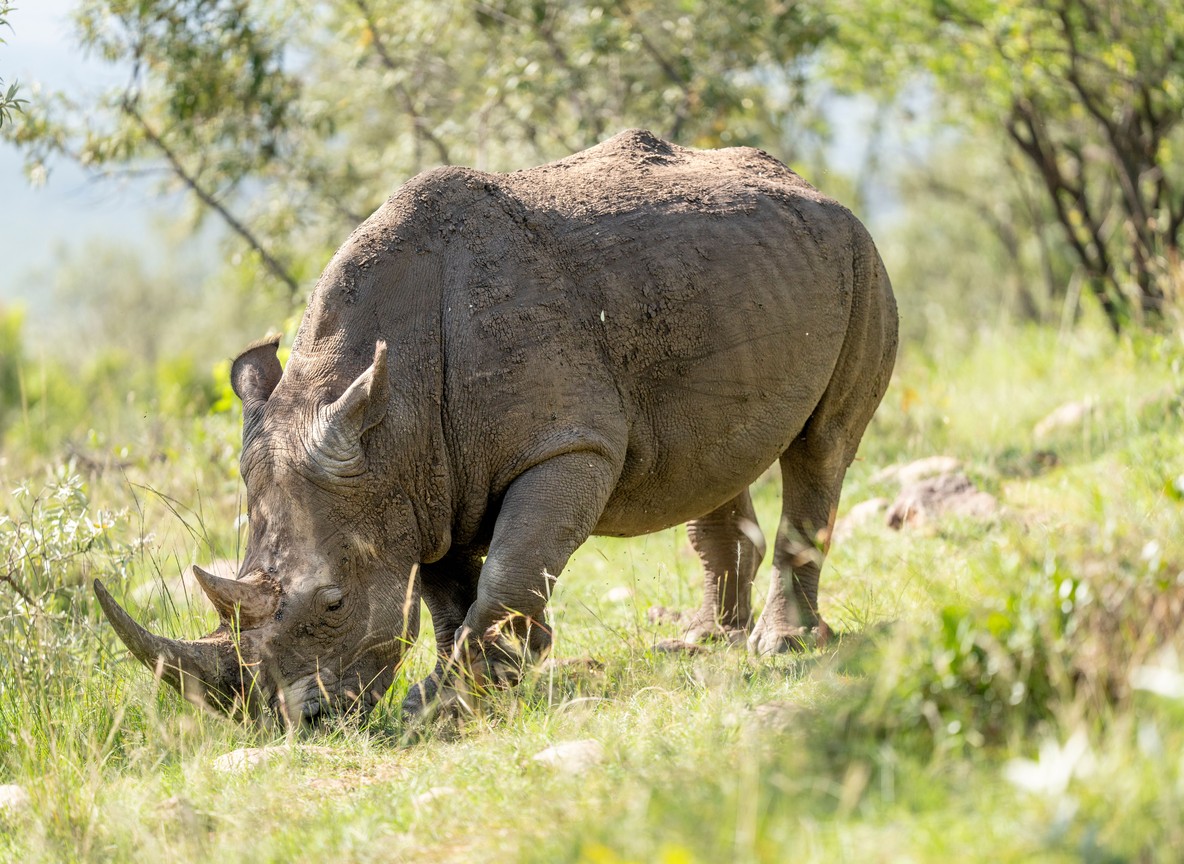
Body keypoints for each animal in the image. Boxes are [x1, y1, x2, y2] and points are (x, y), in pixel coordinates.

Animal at [94, 130, 898, 724]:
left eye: (332, 604)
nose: (295, 723)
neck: (390, 410)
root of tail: (817, 189)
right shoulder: (417, 481)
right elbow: (448, 594)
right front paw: (465, 687)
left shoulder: (565, 445)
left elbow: (509, 570)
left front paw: (445, 702)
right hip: (746, 274)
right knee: (711, 461)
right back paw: (701, 642)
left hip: (861, 261)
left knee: (822, 447)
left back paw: (778, 646)